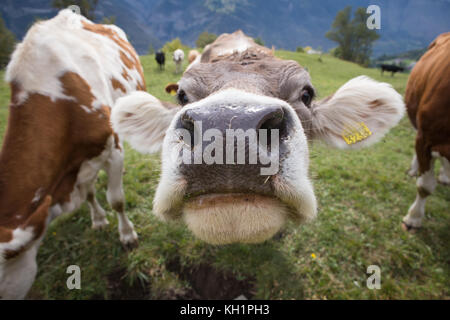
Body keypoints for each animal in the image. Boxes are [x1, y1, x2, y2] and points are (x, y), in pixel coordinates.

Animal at [0, 10, 144, 300]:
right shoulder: (77, 165)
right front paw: (98, 220)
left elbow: (117, 200)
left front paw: (127, 236)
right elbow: (89, 193)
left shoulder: (113, 150)